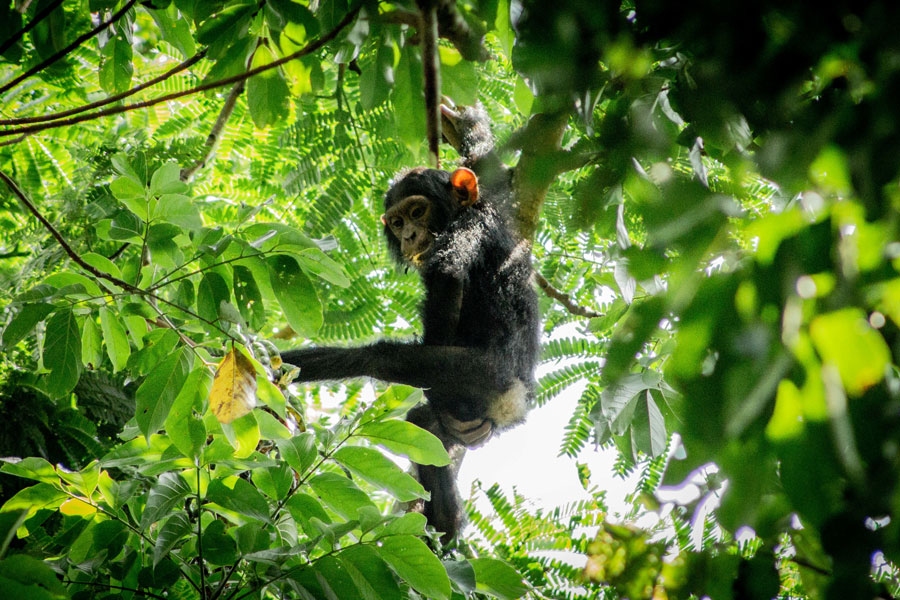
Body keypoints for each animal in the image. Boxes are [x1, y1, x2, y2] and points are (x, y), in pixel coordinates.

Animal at [282, 104, 536, 544]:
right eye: (397, 223)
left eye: (417, 212)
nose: (410, 235)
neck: (466, 210)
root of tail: (515, 400)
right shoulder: (496, 200)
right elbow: (489, 169)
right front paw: (466, 124)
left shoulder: (468, 228)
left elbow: (446, 274)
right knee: (423, 424)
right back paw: (445, 520)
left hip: (482, 375)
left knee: (382, 359)